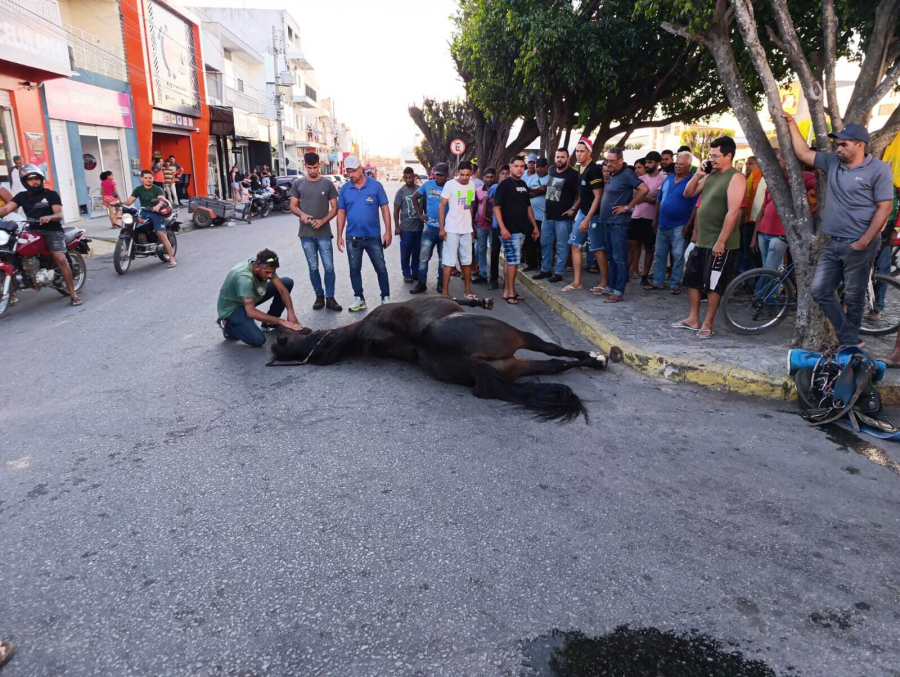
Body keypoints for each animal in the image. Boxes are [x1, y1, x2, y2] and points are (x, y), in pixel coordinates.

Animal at [268, 294, 604, 420]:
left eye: (284, 340)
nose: (273, 343)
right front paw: (481, 299)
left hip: (515, 366)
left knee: (555, 364)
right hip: (515, 336)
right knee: (552, 351)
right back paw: (596, 358)